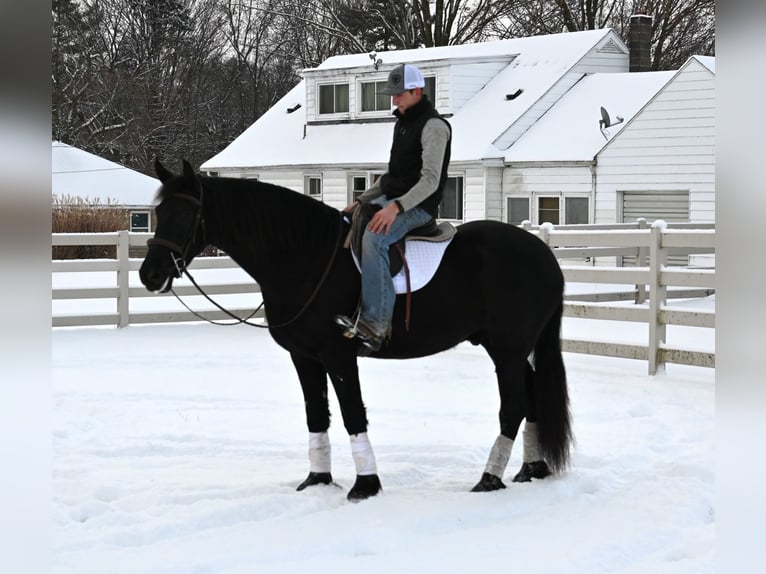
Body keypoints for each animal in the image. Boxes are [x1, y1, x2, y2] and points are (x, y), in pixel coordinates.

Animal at [138, 160, 572, 502]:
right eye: (158, 212)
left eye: (186, 215)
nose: (150, 274)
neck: (306, 257)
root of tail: (545, 256)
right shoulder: (304, 356)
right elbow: (317, 414)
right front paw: (317, 479)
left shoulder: (338, 354)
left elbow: (351, 413)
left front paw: (366, 485)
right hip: (507, 347)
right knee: (532, 398)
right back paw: (531, 469)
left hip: (508, 349)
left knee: (514, 405)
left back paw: (489, 479)